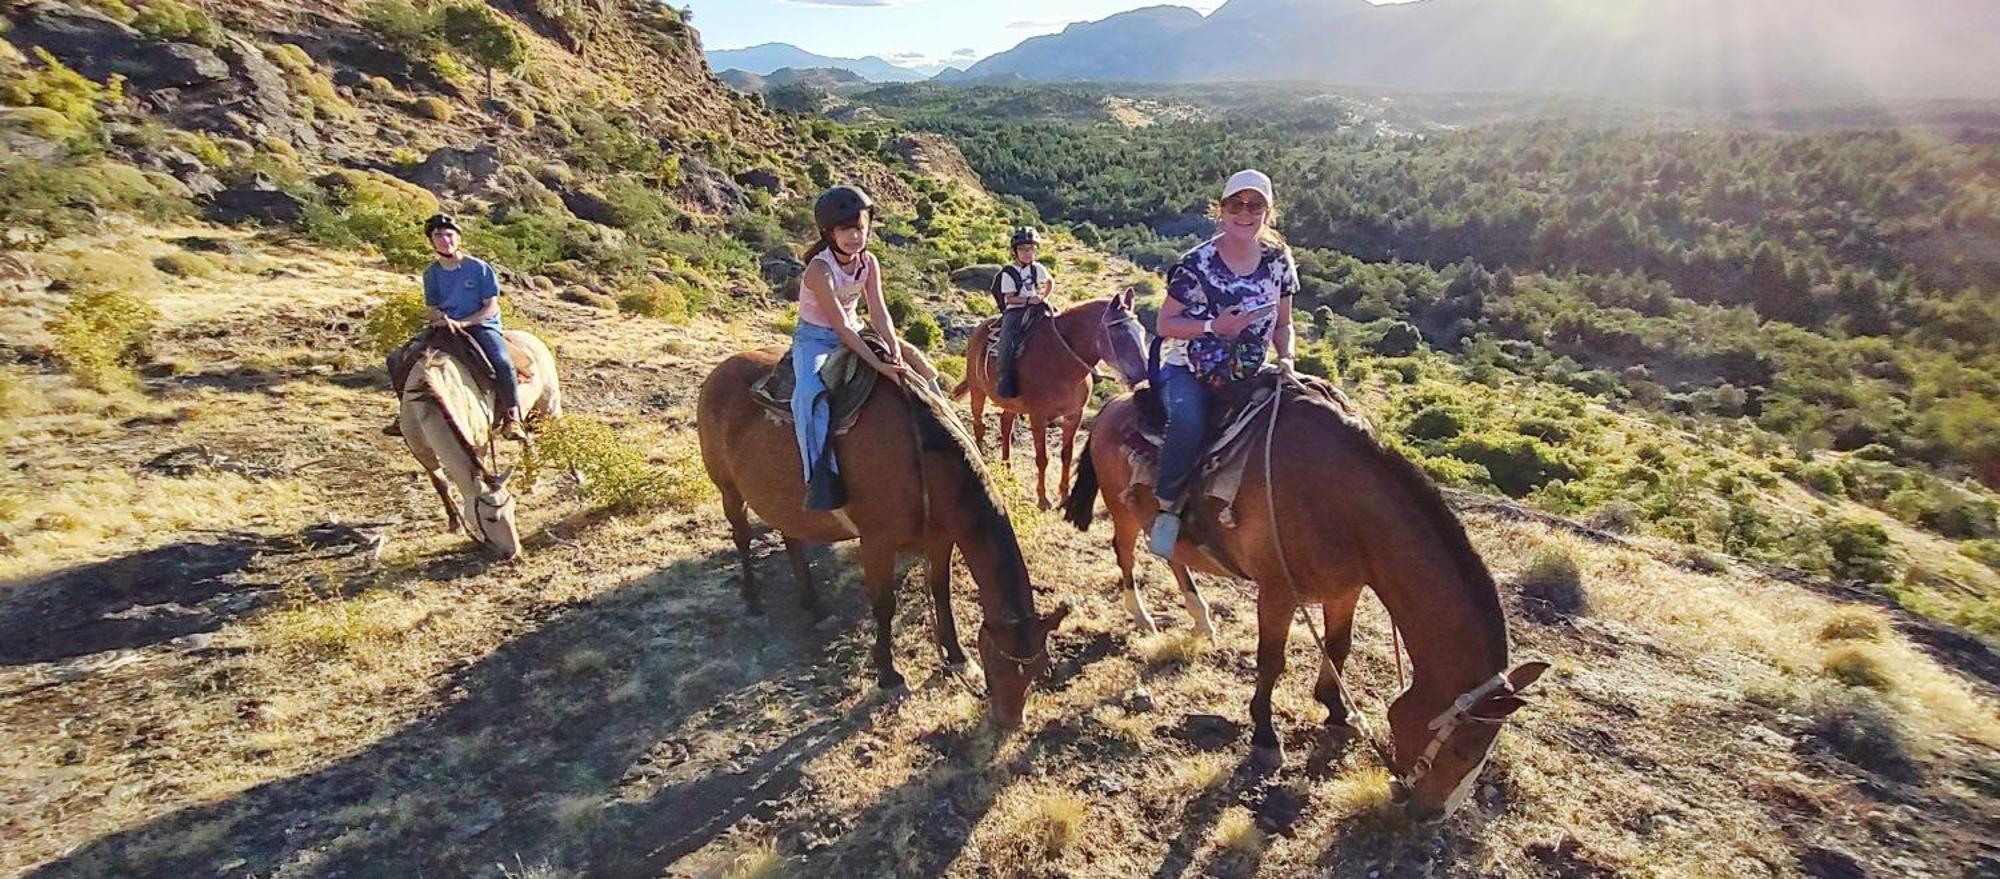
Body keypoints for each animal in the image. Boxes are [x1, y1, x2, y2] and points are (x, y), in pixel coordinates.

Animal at [696, 343, 1072, 727]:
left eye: (1038, 668)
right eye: (1001, 663)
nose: (1010, 721)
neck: (923, 459)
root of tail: (719, 372)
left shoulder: (940, 539)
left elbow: (941, 593)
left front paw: (956, 656)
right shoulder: (877, 542)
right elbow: (884, 605)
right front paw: (888, 673)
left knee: (792, 538)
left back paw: (811, 602)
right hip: (728, 489)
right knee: (742, 537)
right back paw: (753, 597)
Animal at [948, 287, 1144, 507]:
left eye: (1142, 331)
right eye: (1119, 334)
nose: (1143, 373)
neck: (1063, 362)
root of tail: (979, 329)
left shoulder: (1074, 415)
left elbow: (1067, 454)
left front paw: (1064, 495)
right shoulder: (1038, 417)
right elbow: (1042, 458)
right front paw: (1043, 499)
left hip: (1011, 403)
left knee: (1005, 425)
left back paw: (1008, 470)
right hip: (977, 390)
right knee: (979, 424)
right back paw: (983, 460)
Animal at [1064, 377, 1544, 823]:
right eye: (1466, 750)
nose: (1432, 815)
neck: (1346, 508)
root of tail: (1113, 404)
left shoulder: (1345, 589)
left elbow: (1339, 648)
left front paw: (1336, 711)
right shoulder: (1277, 592)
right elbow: (1271, 661)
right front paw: (1265, 736)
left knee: (1173, 558)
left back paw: (1201, 618)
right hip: (1124, 512)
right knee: (1124, 552)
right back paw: (1142, 615)